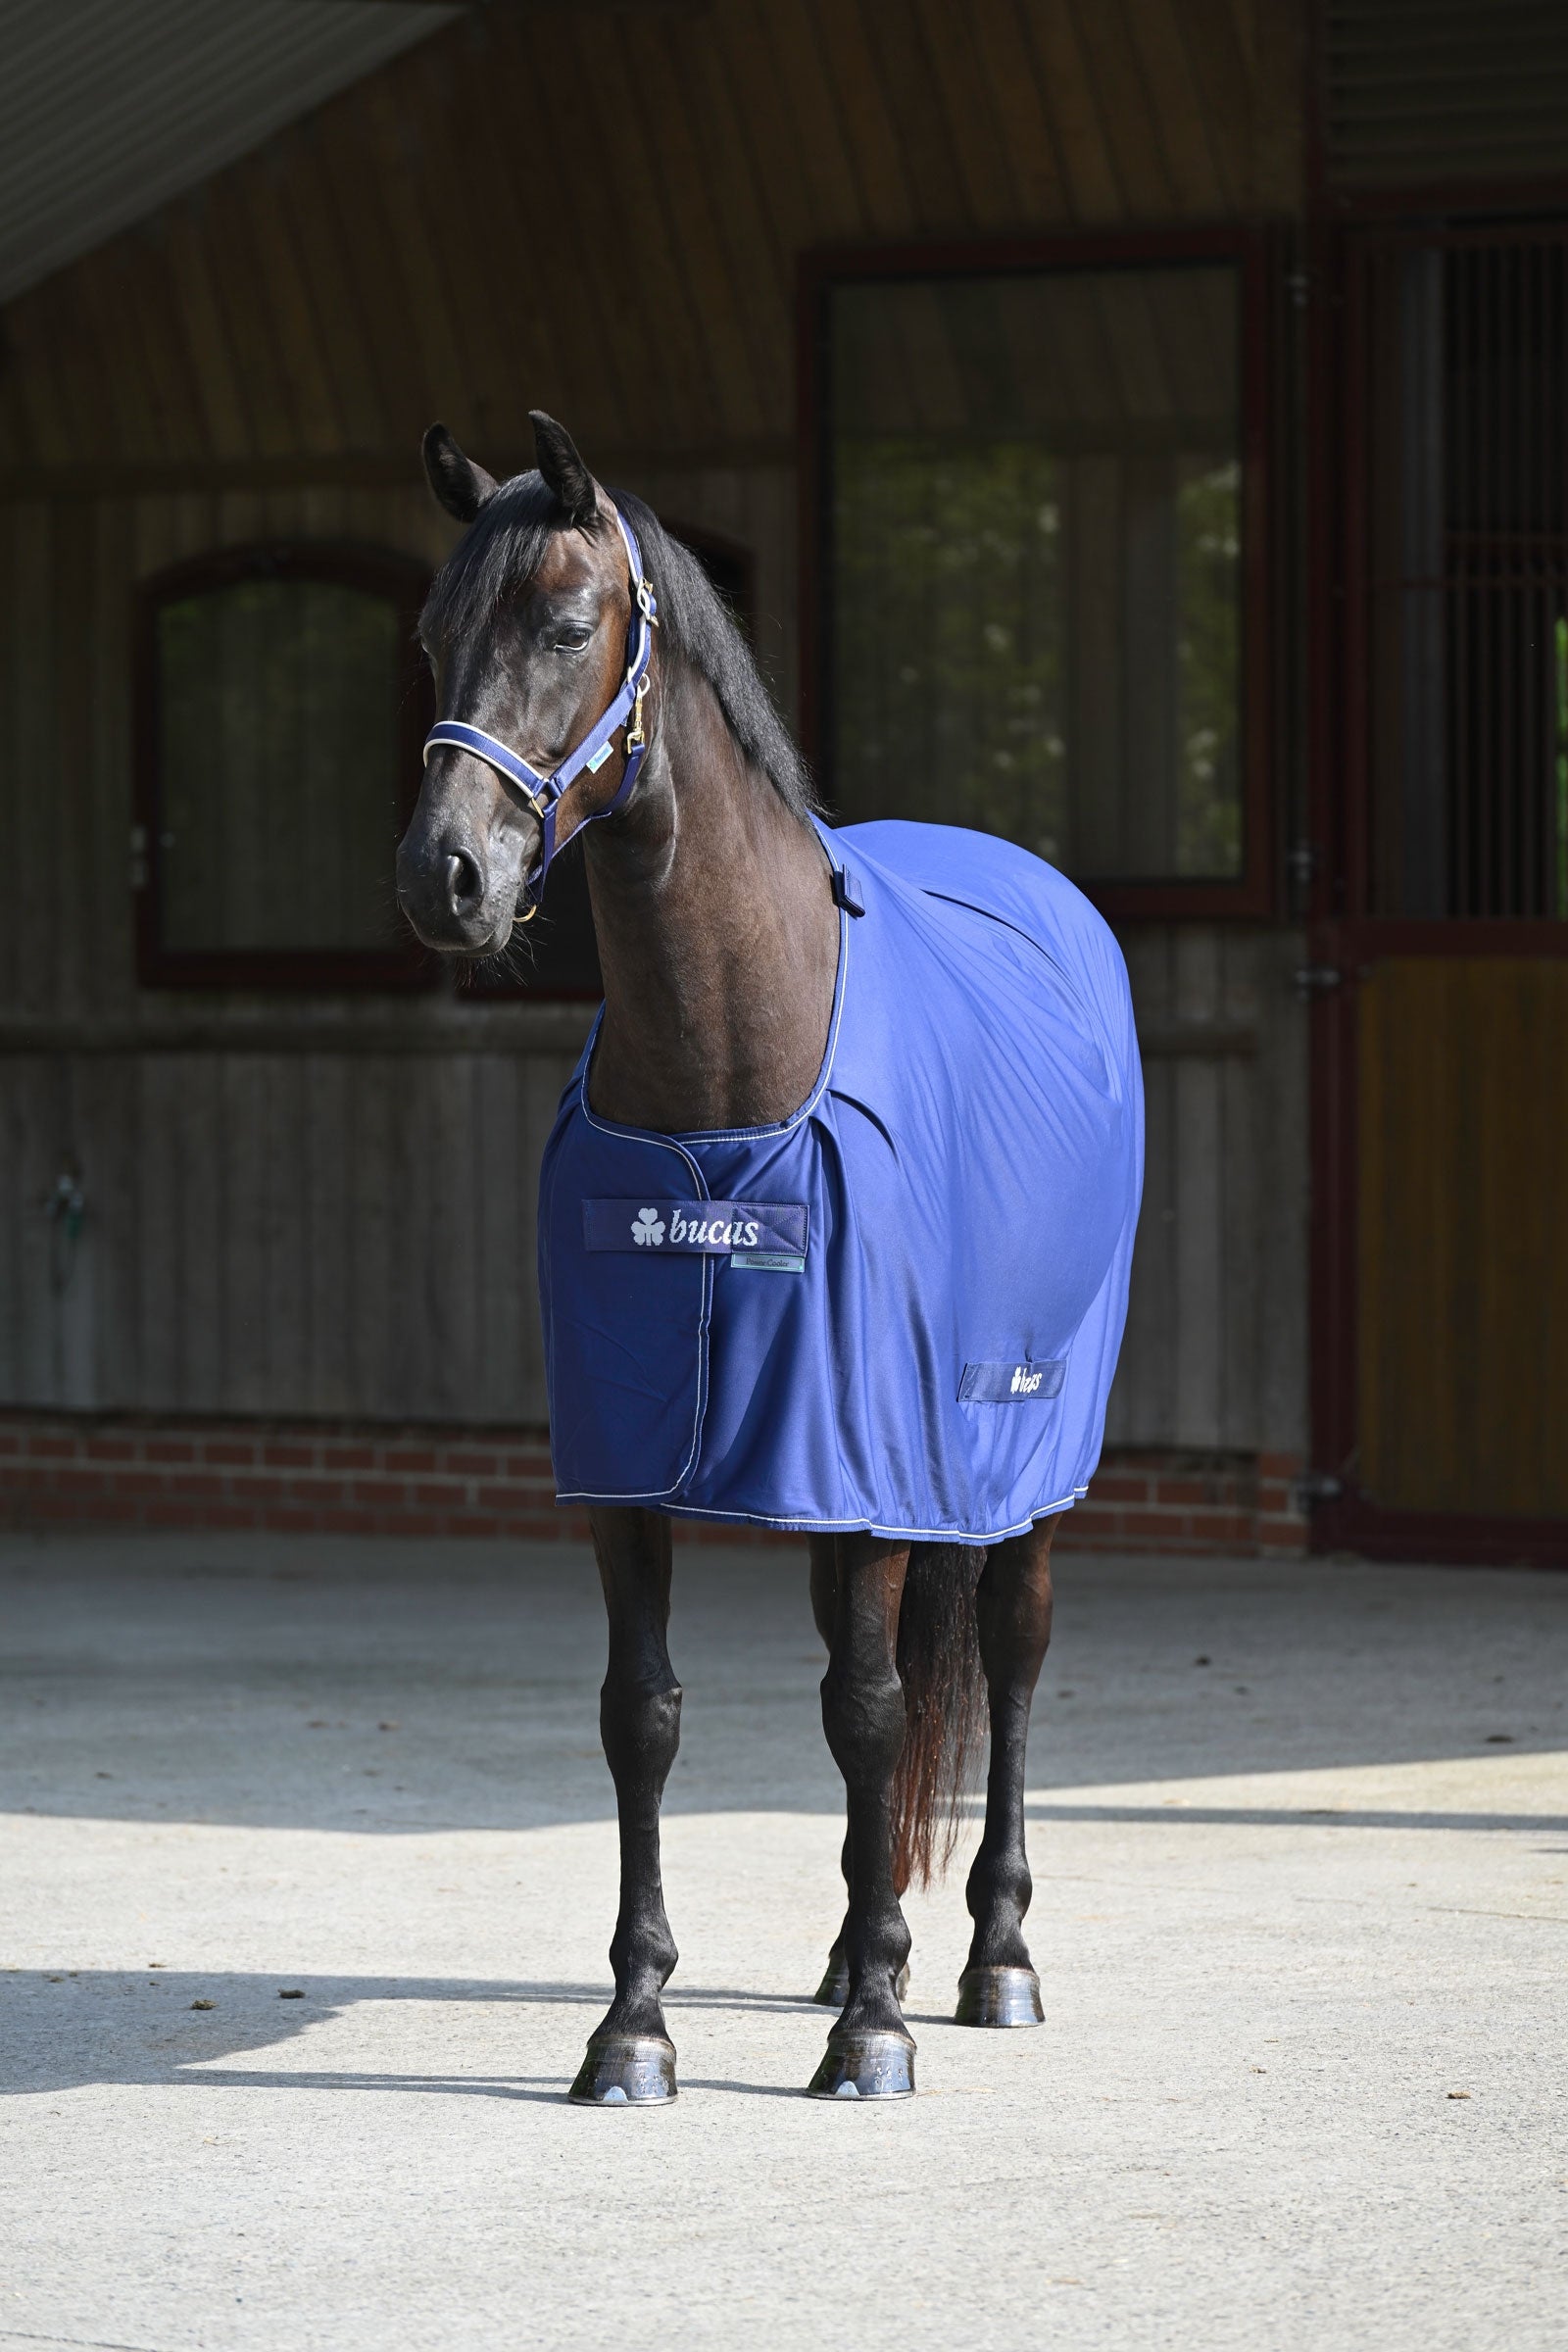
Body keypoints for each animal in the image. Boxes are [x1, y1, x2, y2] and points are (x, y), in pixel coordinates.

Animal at [397, 412, 1143, 2104]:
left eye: (565, 622)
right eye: (428, 638)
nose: (446, 877)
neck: (722, 1080)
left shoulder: (869, 1464)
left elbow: (867, 1714)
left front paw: (875, 2032)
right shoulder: (640, 1469)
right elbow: (645, 1716)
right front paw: (634, 2028)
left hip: (1018, 1458)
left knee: (1006, 1662)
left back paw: (991, 1961)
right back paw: (860, 1953)